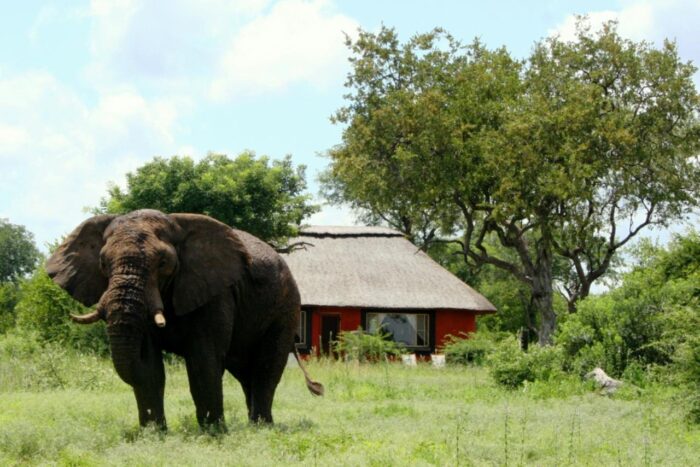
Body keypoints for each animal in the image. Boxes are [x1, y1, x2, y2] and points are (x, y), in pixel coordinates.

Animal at [46, 210, 322, 430]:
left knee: (265, 368)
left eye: (163, 263)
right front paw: (154, 434)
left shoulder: (215, 292)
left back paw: (261, 428)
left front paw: (213, 433)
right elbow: (150, 365)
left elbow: (203, 360)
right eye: (103, 262)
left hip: (285, 307)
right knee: (246, 373)